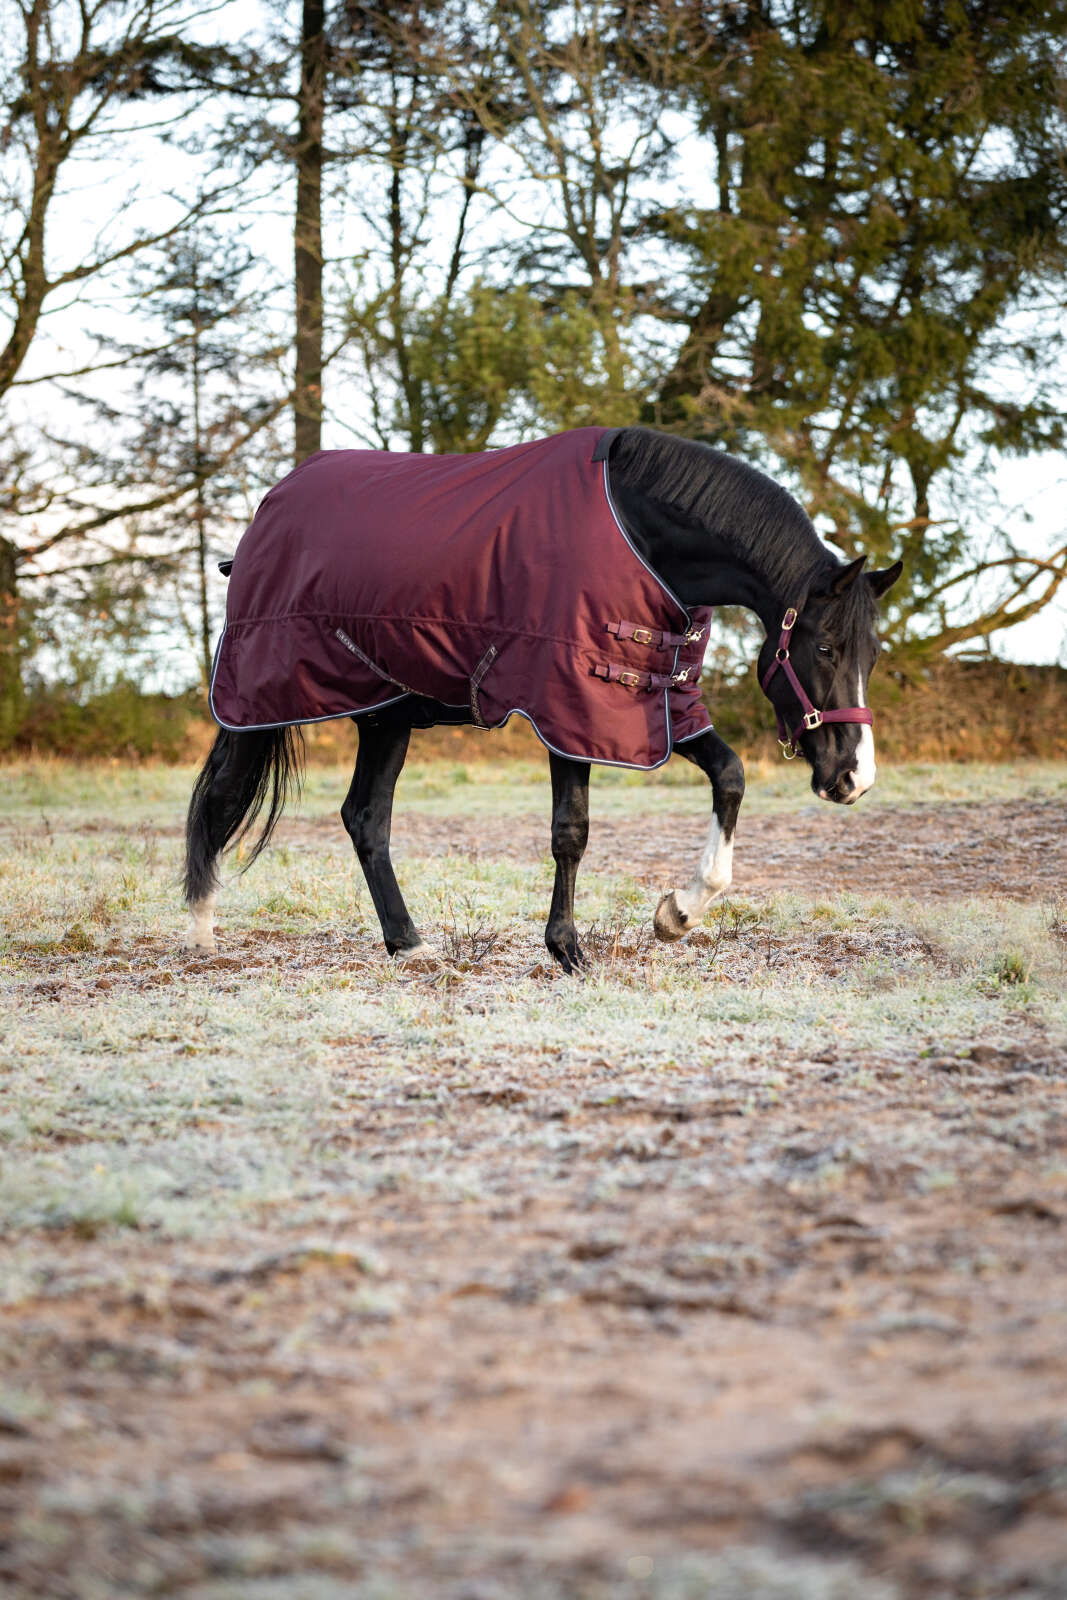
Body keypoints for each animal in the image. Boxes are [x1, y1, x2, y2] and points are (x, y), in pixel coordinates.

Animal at [183, 426, 902, 971]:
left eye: (872, 654)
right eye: (826, 649)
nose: (854, 778)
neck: (639, 533)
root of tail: (265, 514)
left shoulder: (657, 703)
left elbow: (729, 777)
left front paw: (678, 911)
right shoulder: (569, 707)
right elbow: (571, 832)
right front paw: (568, 950)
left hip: (386, 716)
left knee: (365, 819)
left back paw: (407, 944)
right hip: (262, 702)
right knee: (223, 798)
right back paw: (201, 930)